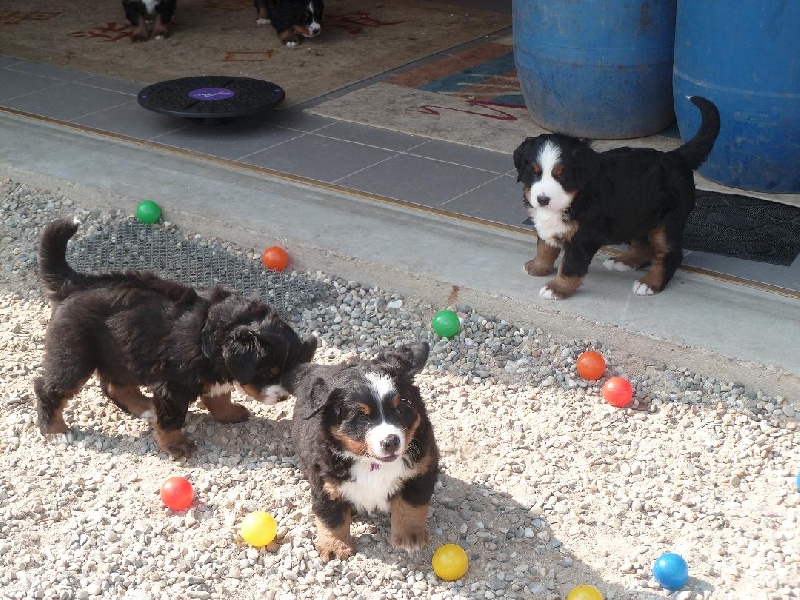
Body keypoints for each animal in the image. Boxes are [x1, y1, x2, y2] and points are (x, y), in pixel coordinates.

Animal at [34, 218, 318, 458]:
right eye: (268, 371)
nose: (282, 397)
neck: (213, 334)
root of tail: (75, 283)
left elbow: (219, 395)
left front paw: (230, 413)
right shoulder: (173, 386)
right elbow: (172, 420)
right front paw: (177, 446)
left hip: (122, 349)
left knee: (114, 385)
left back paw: (145, 407)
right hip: (74, 353)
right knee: (49, 388)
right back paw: (55, 431)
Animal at [284, 342, 438, 561]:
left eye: (401, 409)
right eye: (362, 417)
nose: (391, 441)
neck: (372, 463)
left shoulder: (421, 468)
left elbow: (411, 504)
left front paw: (410, 536)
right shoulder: (324, 481)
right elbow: (331, 516)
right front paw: (336, 546)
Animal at [513, 96, 720, 300]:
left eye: (562, 176)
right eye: (533, 173)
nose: (543, 200)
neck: (576, 198)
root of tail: (676, 156)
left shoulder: (583, 237)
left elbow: (570, 265)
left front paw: (557, 288)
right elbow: (544, 246)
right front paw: (537, 266)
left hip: (667, 222)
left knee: (670, 254)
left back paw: (649, 283)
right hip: (636, 216)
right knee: (643, 246)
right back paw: (624, 262)